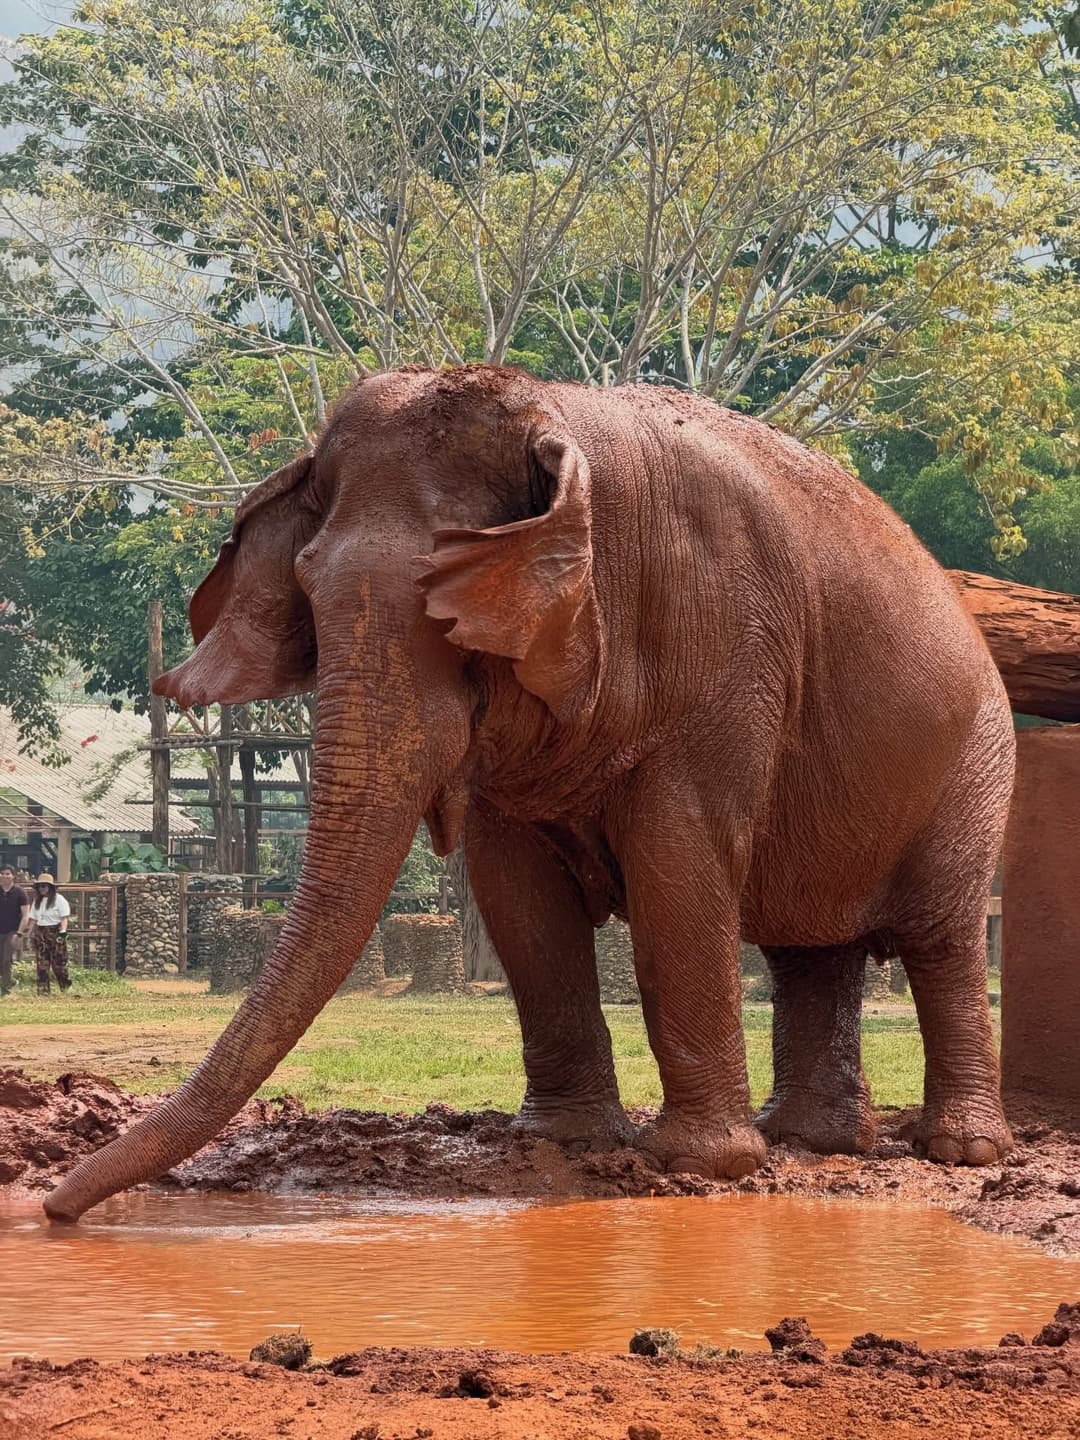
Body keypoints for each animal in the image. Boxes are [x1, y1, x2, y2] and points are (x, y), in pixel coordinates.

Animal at [44, 364, 1014, 1222]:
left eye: (447, 606)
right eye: (310, 585)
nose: (54, 1208)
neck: (557, 413)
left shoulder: (726, 652)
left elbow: (679, 868)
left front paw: (701, 1167)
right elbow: (519, 898)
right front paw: (567, 1143)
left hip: (976, 766)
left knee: (940, 938)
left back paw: (960, 1151)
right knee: (809, 949)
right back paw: (810, 1141)